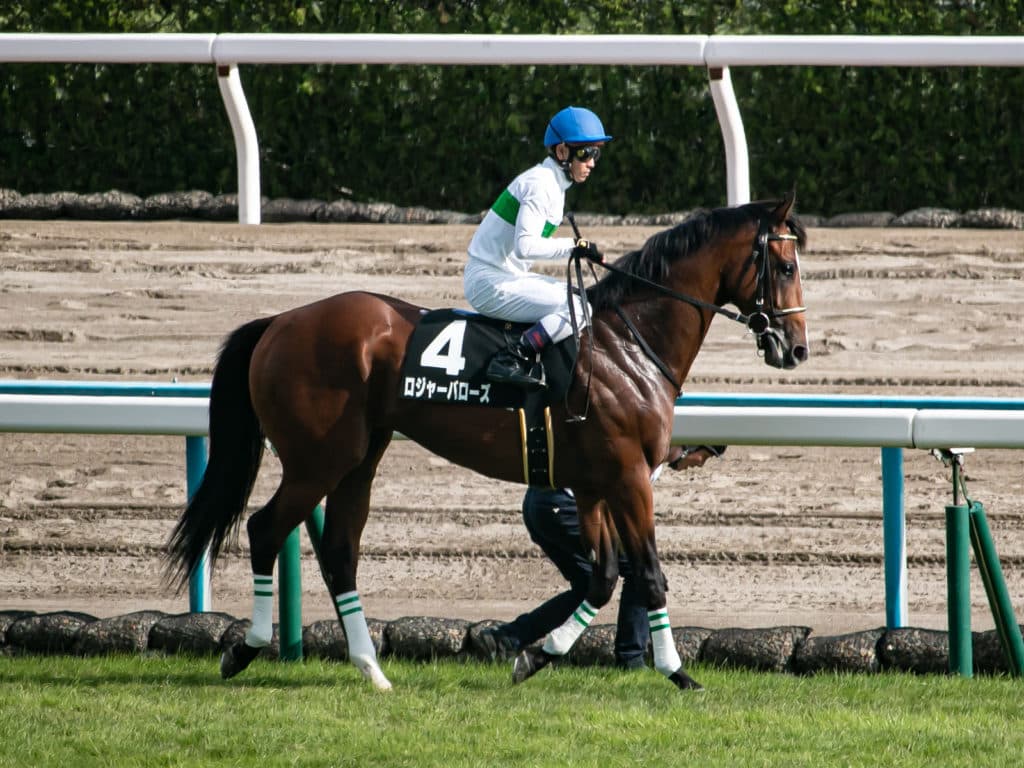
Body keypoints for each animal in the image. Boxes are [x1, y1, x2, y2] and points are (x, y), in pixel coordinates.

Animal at [166, 192, 808, 691]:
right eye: (784, 266)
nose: (797, 348)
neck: (628, 345)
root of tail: (279, 321)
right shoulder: (628, 477)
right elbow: (647, 572)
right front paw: (677, 671)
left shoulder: (593, 484)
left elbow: (603, 576)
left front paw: (536, 655)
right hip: (316, 459)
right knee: (265, 529)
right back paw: (245, 648)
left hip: (360, 458)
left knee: (341, 552)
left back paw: (372, 669)